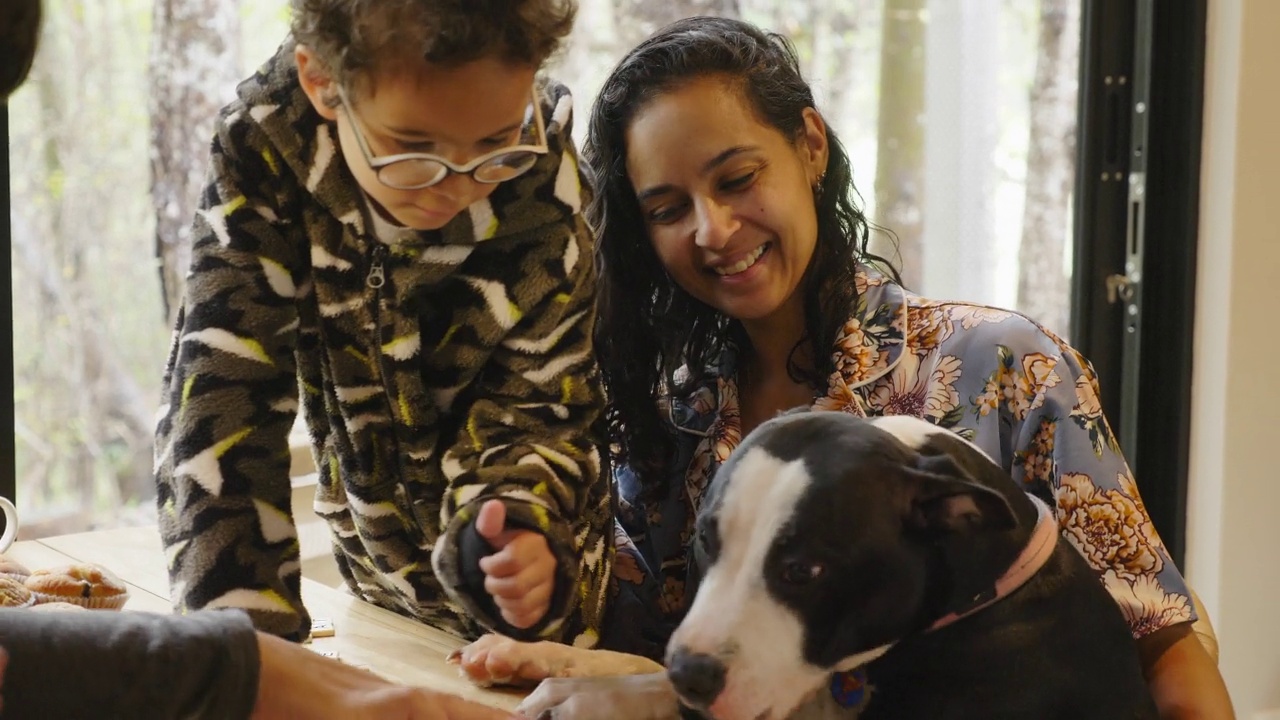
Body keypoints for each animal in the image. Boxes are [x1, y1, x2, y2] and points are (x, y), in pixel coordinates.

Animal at [478, 409, 1152, 717]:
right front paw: (535, 655)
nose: (692, 675)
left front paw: (583, 699)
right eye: (705, 541)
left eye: (803, 571)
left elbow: (647, 682)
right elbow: (637, 660)